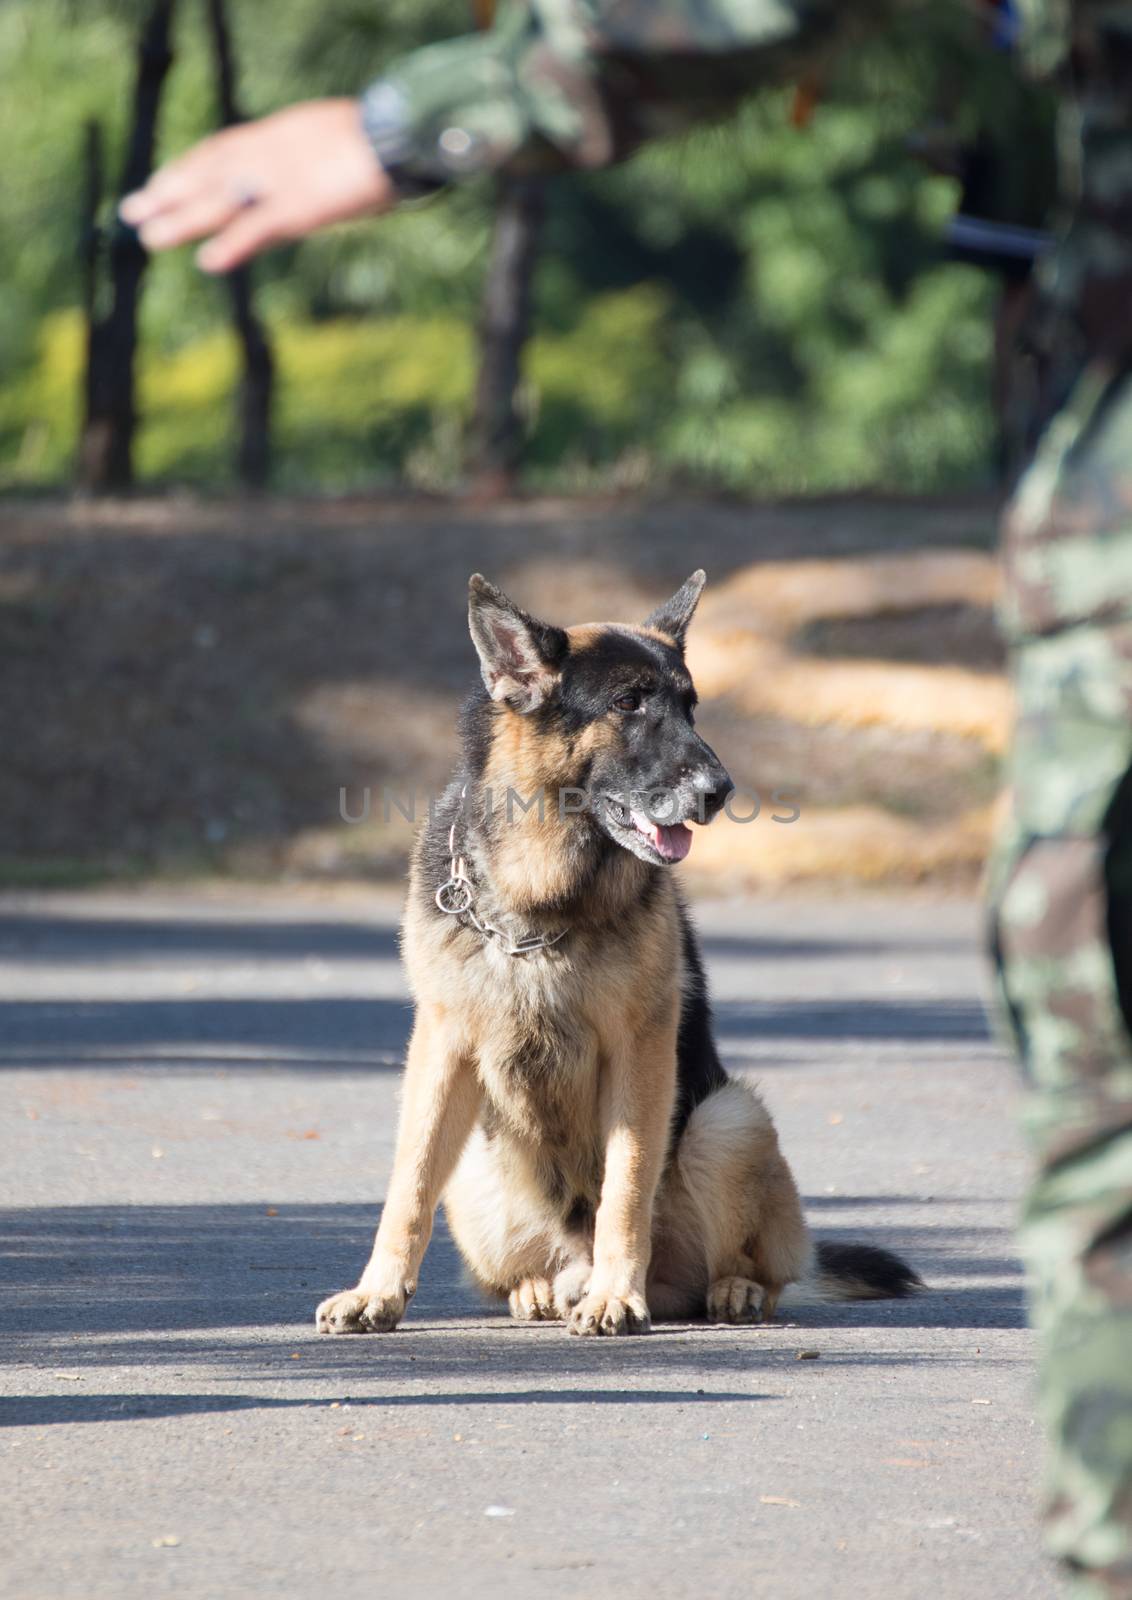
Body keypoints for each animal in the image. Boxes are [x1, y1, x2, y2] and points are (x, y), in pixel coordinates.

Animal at [316, 576, 920, 1337]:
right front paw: (377, 1292)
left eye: (691, 705)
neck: (541, 901)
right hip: (480, 1160)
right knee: (518, 1262)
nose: (720, 792)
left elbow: (627, 1183)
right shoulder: (441, 1048)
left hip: (729, 1121)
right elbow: (411, 1183)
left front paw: (615, 1295)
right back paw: (540, 1290)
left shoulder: (639, 1049)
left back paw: (724, 1290)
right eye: (628, 704)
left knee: (750, 1269)